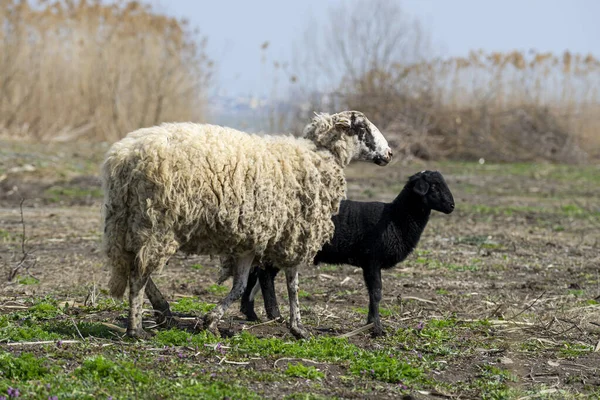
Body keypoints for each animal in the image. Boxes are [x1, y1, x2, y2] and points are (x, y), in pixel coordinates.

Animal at [102, 109, 394, 338]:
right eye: (362, 127)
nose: (390, 153)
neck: (317, 158)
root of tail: (122, 157)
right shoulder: (294, 233)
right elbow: (293, 284)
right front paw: (298, 327)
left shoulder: (250, 239)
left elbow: (240, 285)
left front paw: (210, 321)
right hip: (157, 221)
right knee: (139, 275)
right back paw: (136, 328)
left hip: (128, 221)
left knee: (135, 266)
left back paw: (162, 310)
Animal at [239, 170, 454, 336]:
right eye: (434, 187)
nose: (452, 206)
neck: (395, 218)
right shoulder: (372, 260)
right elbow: (376, 293)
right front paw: (376, 328)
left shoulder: (370, 263)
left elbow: (372, 293)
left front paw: (370, 323)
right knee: (264, 276)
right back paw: (274, 315)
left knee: (257, 274)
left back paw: (252, 313)